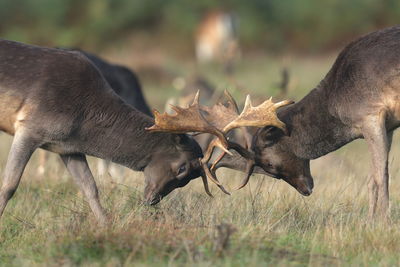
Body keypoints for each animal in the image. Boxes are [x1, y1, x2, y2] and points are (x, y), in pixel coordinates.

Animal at [0, 38, 290, 225]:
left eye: (190, 178)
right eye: (182, 168)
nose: (151, 201)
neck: (82, 116)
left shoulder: (66, 147)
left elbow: (90, 188)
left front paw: (107, 228)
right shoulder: (30, 127)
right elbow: (9, 185)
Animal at [216, 26, 400, 221]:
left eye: (269, 164)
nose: (306, 190)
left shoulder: (370, 115)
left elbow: (380, 175)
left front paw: (383, 221)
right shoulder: (388, 126)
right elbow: (373, 177)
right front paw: (370, 220)